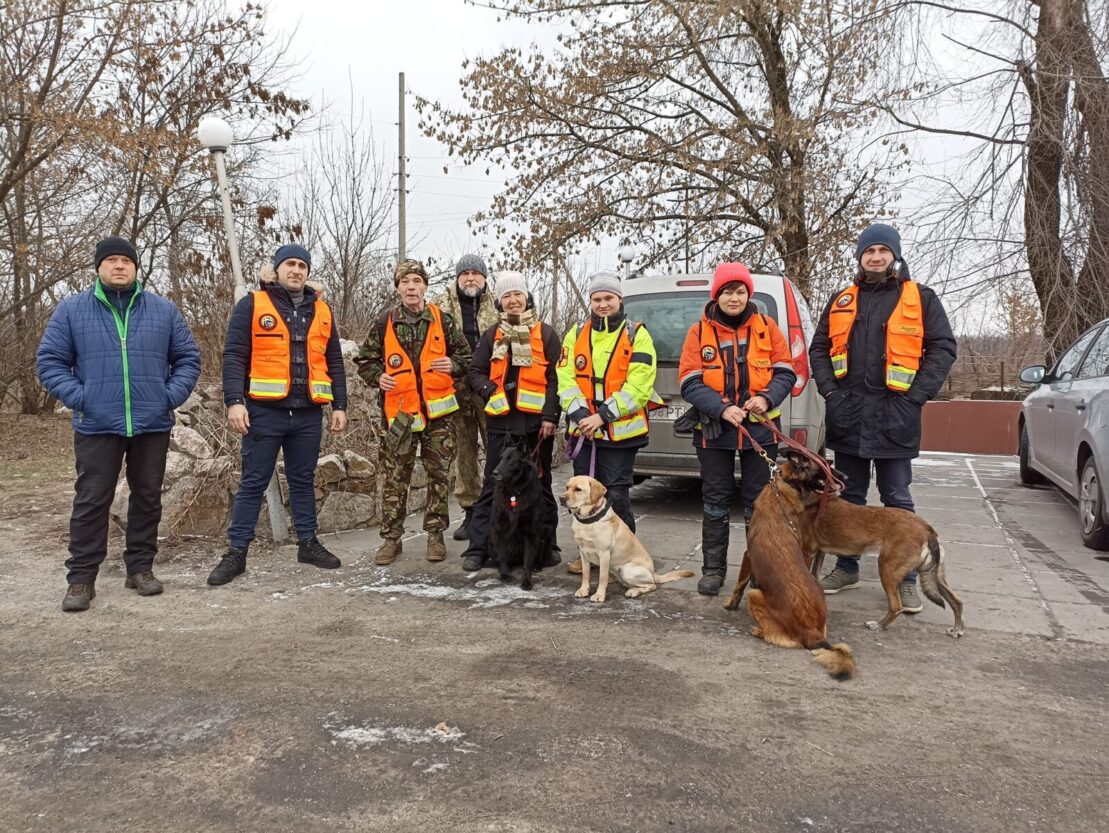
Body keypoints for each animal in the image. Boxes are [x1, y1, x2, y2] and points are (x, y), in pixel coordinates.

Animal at [492, 445, 552, 590]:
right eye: (501, 458)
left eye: (510, 460)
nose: (494, 473)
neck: (514, 491)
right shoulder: (500, 527)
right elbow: (502, 554)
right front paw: (504, 574)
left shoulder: (531, 532)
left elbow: (528, 561)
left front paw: (526, 581)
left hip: (546, 531)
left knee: (536, 558)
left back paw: (537, 566)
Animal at [718, 459, 856, 678]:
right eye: (825, 466)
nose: (845, 478)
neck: (783, 487)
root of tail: (813, 633)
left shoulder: (748, 556)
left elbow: (739, 585)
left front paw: (730, 604)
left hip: (755, 596)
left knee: (774, 635)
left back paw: (759, 631)